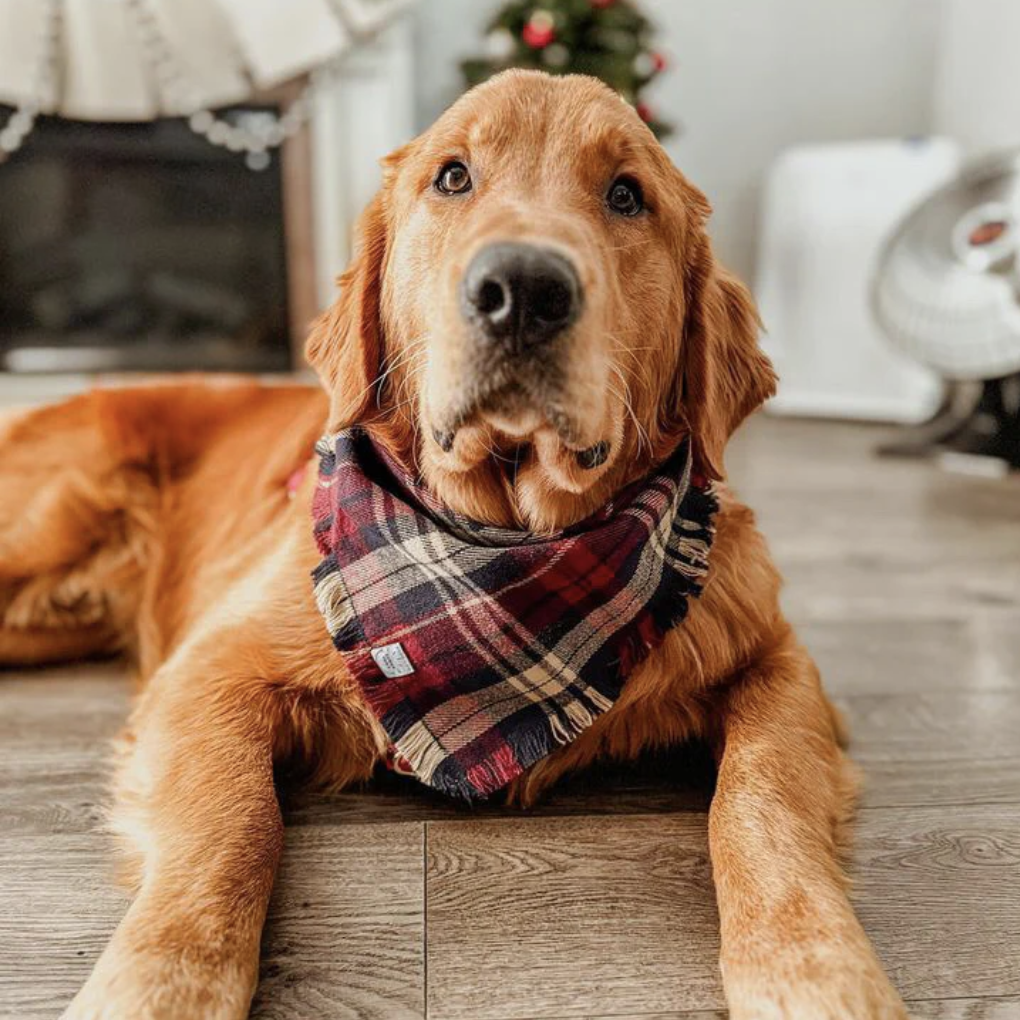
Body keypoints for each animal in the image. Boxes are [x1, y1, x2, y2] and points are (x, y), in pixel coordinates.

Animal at [0, 73, 909, 1020]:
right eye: (452, 177)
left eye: (627, 195)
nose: (523, 289)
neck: (503, 549)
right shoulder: (211, 668)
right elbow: (233, 823)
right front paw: (159, 980)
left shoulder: (779, 661)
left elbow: (761, 794)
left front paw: (815, 967)